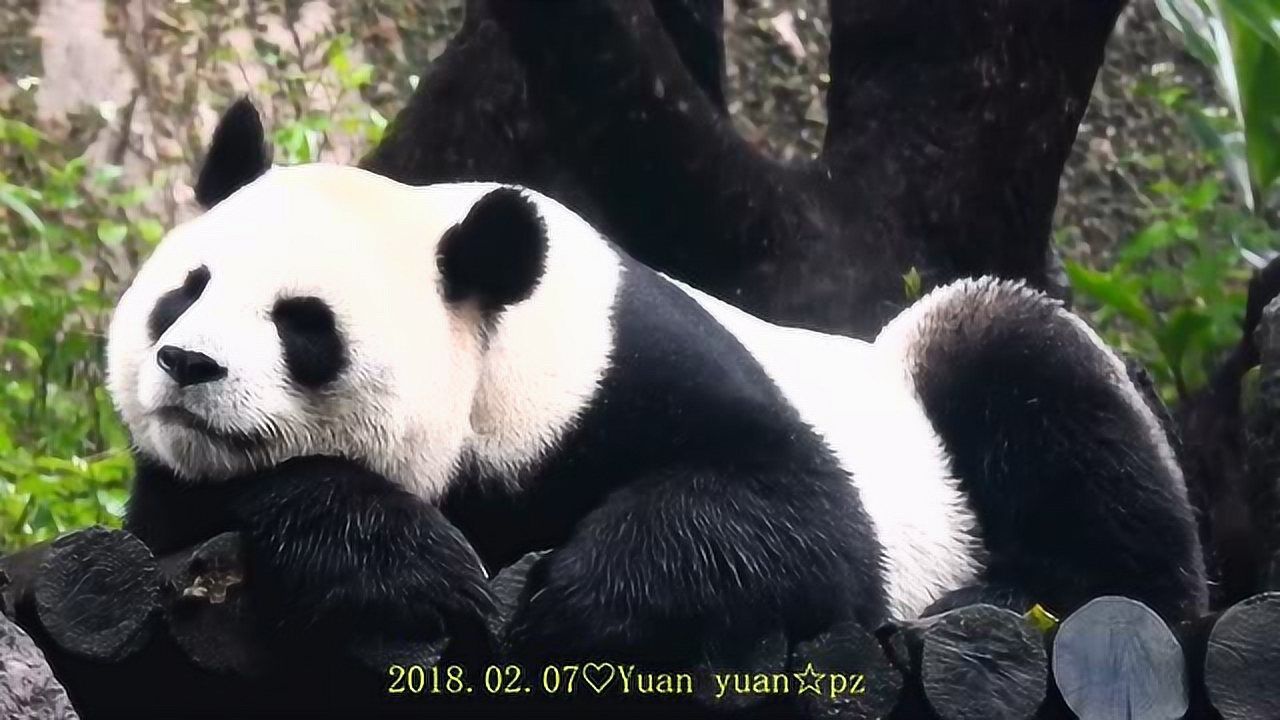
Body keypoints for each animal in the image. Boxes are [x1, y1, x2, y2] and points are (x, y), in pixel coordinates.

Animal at [104, 99, 1203, 666]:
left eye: (302, 325)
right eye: (185, 292)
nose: (188, 365)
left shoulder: (624, 365)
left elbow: (796, 514)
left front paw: (569, 601)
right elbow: (201, 512)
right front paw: (414, 570)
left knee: (1031, 383)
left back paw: (1015, 590)